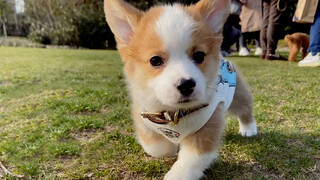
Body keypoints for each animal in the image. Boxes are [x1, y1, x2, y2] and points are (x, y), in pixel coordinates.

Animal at [104, 0, 258, 179]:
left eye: (199, 56)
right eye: (155, 60)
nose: (186, 84)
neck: (174, 113)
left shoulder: (209, 123)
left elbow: (192, 159)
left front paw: (178, 173)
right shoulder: (143, 115)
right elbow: (156, 147)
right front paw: (170, 147)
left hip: (236, 94)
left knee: (245, 108)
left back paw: (248, 129)